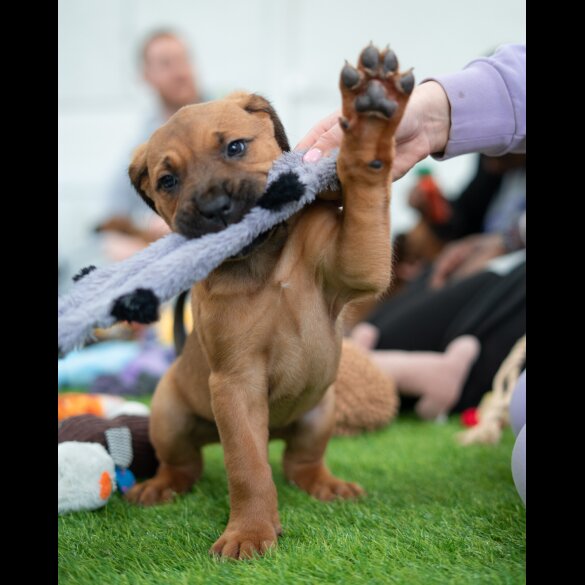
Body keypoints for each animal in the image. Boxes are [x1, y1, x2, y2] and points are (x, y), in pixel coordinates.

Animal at [125, 44, 412, 556]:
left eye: (235, 148)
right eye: (168, 181)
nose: (216, 208)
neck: (264, 261)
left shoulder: (355, 265)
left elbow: (364, 190)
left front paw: (371, 120)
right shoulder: (236, 384)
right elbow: (248, 467)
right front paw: (251, 530)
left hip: (322, 411)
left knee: (301, 463)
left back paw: (327, 484)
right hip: (169, 415)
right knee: (185, 464)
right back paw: (160, 485)